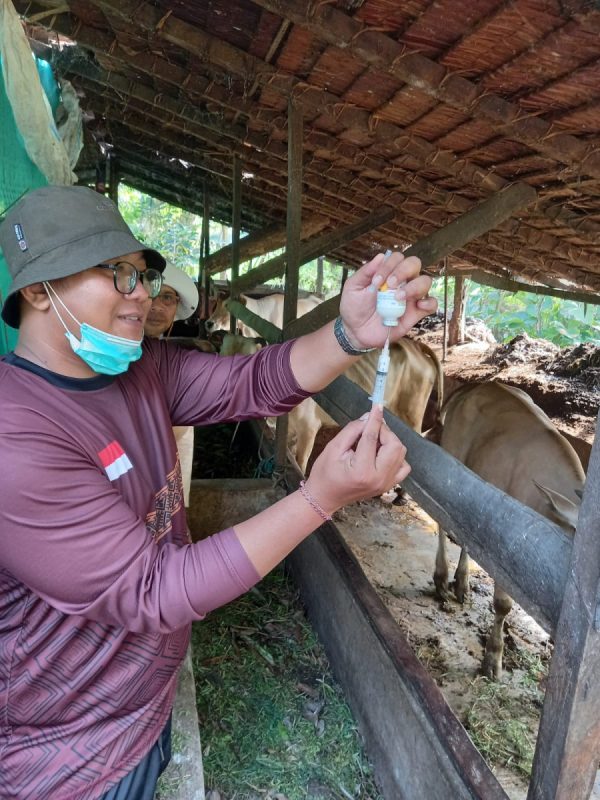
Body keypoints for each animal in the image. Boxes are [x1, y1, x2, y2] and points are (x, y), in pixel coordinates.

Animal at [434, 384, 584, 680]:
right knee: (445, 520)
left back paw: (462, 582)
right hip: (451, 456)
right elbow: (503, 604)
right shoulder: (509, 547)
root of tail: (478, 386)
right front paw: (493, 658)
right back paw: (442, 577)